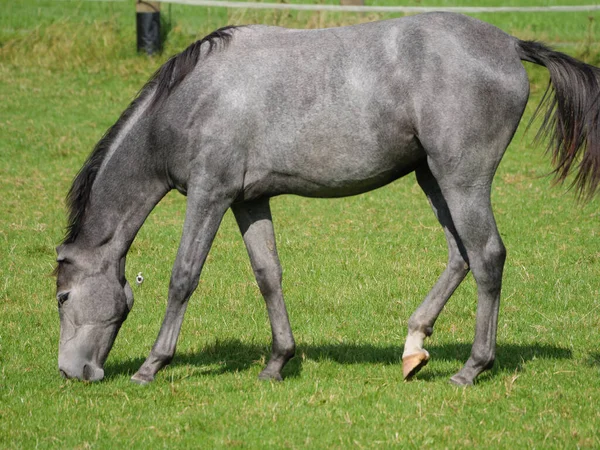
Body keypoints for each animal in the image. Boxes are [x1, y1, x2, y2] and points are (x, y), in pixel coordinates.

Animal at [54, 14, 596, 386]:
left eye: (62, 297)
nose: (71, 372)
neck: (195, 96)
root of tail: (510, 45)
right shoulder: (248, 200)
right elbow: (268, 276)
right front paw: (277, 361)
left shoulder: (210, 193)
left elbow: (183, 277)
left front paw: (151, 365)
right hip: (433, 178)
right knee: (460, 255)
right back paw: (413, 346)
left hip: (461, 179)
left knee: (486, 257)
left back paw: (471, 368)